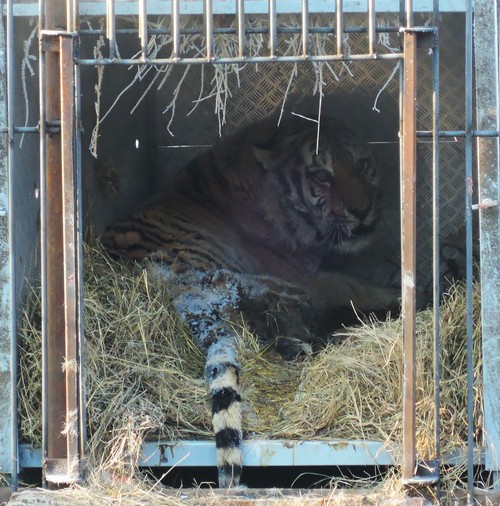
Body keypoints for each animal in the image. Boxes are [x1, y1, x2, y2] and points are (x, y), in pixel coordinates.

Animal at [100, 114, 398, 486]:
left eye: (362, 165)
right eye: (321, 176)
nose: (362, 210)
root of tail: (186, 294)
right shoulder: (306, 276)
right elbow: (356, 286)